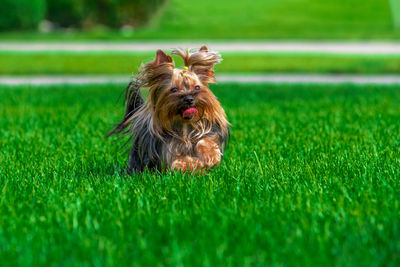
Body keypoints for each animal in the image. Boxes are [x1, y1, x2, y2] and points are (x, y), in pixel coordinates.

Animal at [108, 46, 230, 174]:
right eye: (174, 89)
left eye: (197, 87)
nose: (189, 99)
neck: (184, 126)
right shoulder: (167, 151)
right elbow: (179, 161)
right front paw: (190, 164)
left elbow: (206, 141)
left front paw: (209, 155)